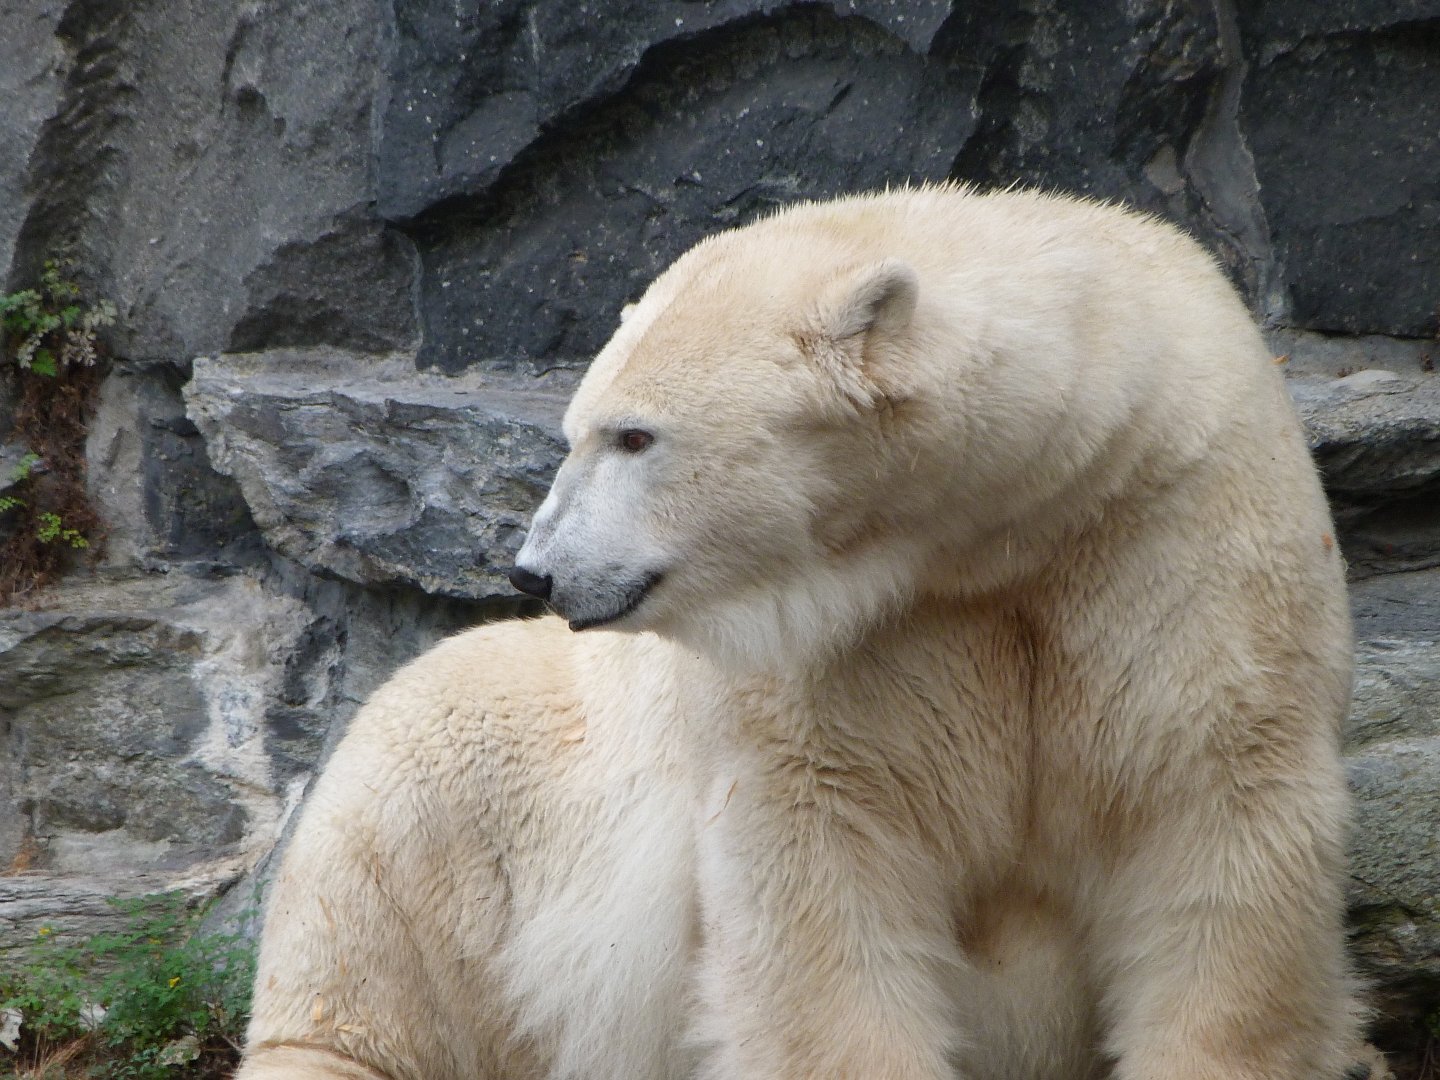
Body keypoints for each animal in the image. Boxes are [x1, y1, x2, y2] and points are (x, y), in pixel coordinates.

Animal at [236, 186, 1376, 1080]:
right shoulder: (838, 657)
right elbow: (822, 868)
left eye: (633, 435)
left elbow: (1213, 806)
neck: (1013, 517)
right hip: (471, 783)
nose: (537, 568)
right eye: (574, 431)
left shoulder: (1169, 533)